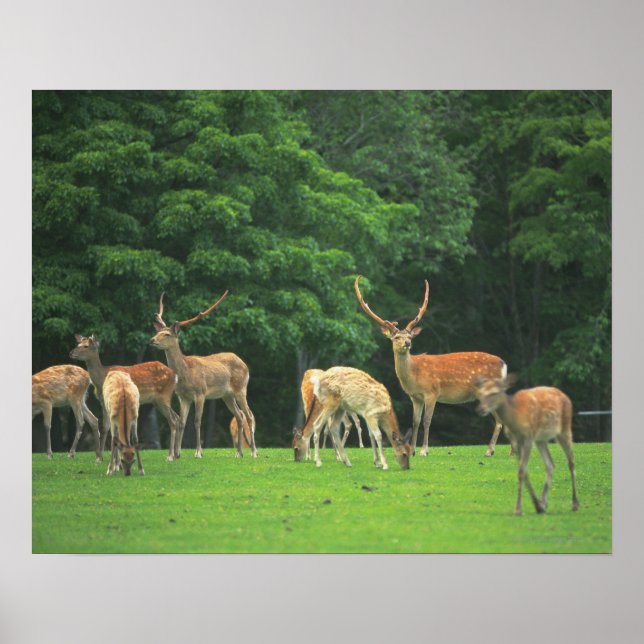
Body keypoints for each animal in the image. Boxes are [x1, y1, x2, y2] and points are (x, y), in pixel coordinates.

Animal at [151, 291, 257, 459]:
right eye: (157, 332)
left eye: (167, 334)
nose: (152, 340)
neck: (185, 374)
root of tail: (244, 363)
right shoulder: (183, 396)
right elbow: (182, 422)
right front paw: (177, 453)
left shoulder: (200, 393)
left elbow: (197, 421)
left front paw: (198, 452)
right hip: (227, 395)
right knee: (239, 416)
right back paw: (239, 453)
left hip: (241, 388)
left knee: (249, 415)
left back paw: (253, 452)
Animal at [354, 276, 508, 458]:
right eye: (396, 337)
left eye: (410, 336)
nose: (408, 343)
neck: (414, 375)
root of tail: (503, 364)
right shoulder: (415, 397)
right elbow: (415, 421)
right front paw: (412, 450)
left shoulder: (432, 392)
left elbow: (427, 421)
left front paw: (424, 451)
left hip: (488, 390)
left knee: (500, 419)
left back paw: (490, 451)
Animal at [473, 374, 579, 516]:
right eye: (480, 392)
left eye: (495, 392)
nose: (480, 409)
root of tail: (566, 397)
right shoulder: (518, 440)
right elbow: (523, 471)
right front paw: (536, 505)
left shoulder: (528, 438)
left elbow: (522, 471)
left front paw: (518, 509)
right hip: (541, 440)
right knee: (550, 464)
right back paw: (543, 503)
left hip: (564, 429)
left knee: (571, 461)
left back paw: (574, 504)